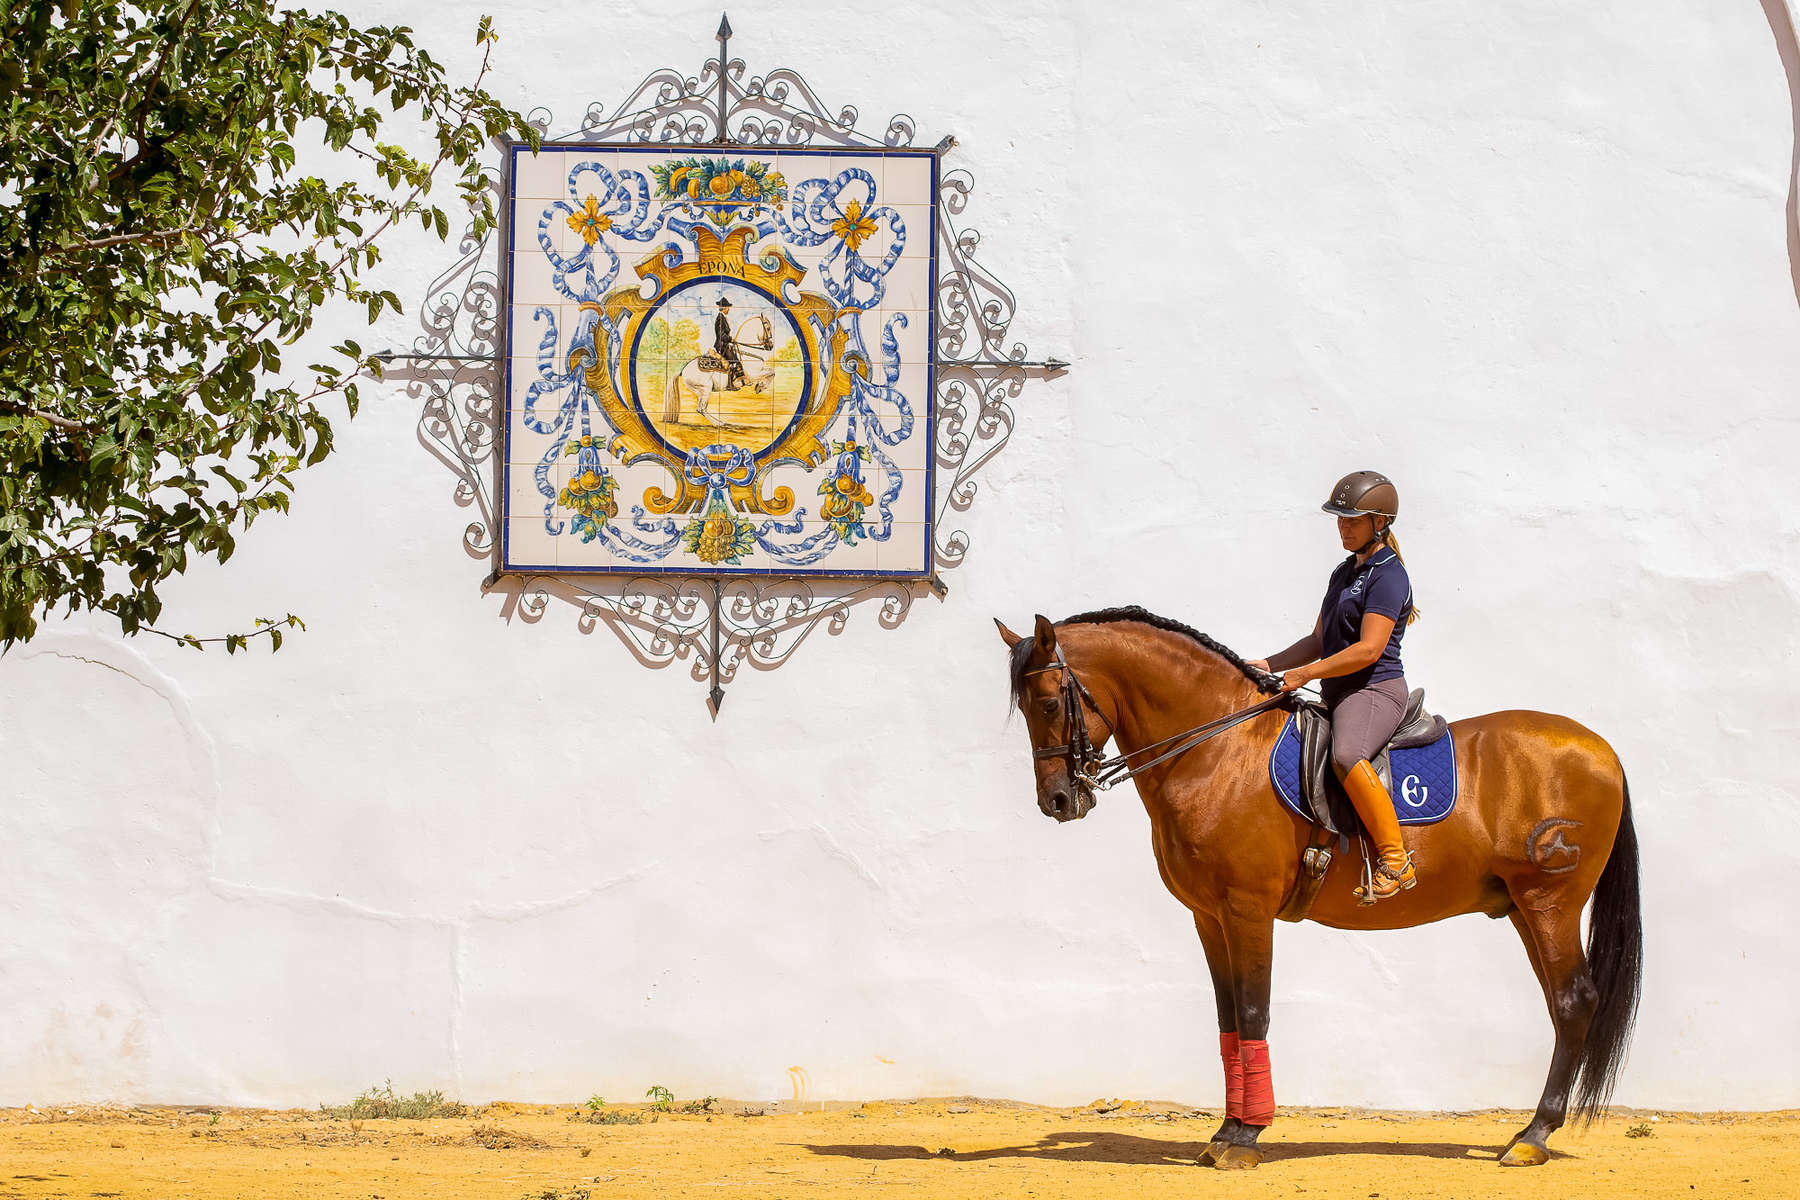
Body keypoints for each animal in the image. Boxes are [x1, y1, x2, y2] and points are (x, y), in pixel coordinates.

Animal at [1000, 604, 1648, 1165]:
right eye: (1027, 708)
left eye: (1050, 702)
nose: (1057, 801)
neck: (1217, 752)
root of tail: (1603, 750)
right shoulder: (1208, 916)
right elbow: (1228, 1018)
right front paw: (1226, 1131)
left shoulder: (1247, 910)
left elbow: (1254, 1011)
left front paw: (1246, 1138)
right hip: (1520, 907)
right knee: (1562, 1005)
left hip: (1549, 903)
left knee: (1573, 1001)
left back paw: (1534, 1136)